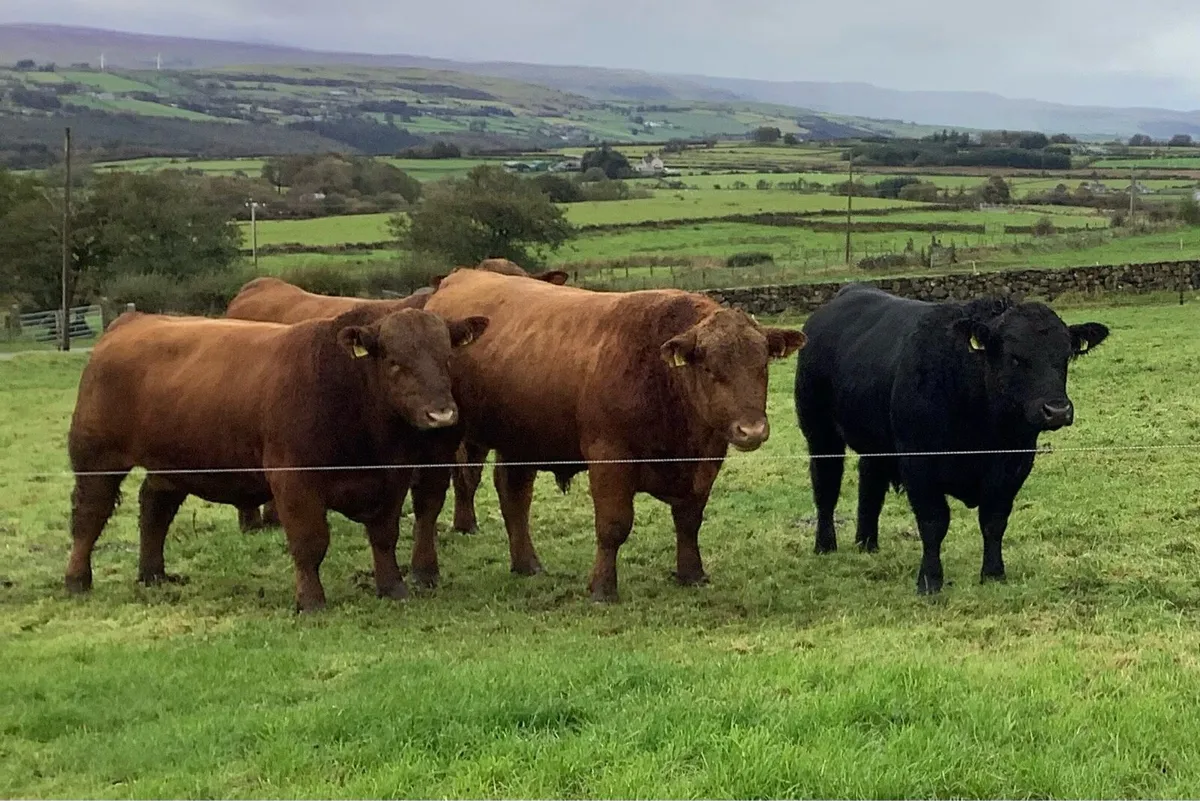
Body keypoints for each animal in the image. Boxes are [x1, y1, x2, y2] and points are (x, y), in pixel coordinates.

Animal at [65, 306, 489, 611]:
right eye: (395, 362)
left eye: (447, 358)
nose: (441, 415)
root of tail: (130, 321)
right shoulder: (293, 481)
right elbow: (310, 542)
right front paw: (311, 602)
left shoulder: (392, 478)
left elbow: (384, 535)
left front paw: (392, 587)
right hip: (97, 458)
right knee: (89, 516)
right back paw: (77, 579)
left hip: (171, 463)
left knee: (154, 507)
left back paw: (153, 574)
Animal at [422, 269, 806, 601]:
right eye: (710, 368)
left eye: (763, 365)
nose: (751, 429)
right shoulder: (609, 459)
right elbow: (614, 525)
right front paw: (602, 589)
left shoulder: (706, 462)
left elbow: (689, 520)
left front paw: (692, 574)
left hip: (522, 439)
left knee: (513, 493)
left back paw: (527, 564)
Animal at [793, 284, 1109, 594]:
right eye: (1015, 357)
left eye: (1065, 355)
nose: (1057, 410)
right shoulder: (918, 465)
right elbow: (934, 522)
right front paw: (930, 581)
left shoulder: (1013, 463)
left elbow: (994, 520)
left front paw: (993, 573)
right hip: (820, 433)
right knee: (826, 485)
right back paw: (825, 545)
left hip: (875, 443)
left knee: (870, 482)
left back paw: (867, 543)